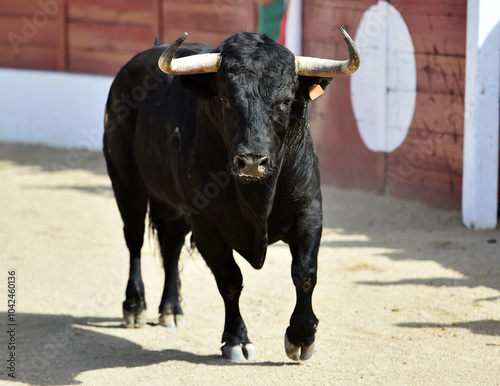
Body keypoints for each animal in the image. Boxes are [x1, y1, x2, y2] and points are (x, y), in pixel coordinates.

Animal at [102, 28, 360, 360]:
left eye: (286, 101)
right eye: (225, 99)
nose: (251, 161)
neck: (257, 197)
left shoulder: (309, 212)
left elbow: (304, 273)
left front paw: (302, 337)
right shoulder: (207, 227)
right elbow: (230, 280)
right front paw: (237, 340)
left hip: (174, 206)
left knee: (171, 244)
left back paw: (171, 309)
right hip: (126, 182)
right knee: (134, 239)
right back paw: (135, 306)